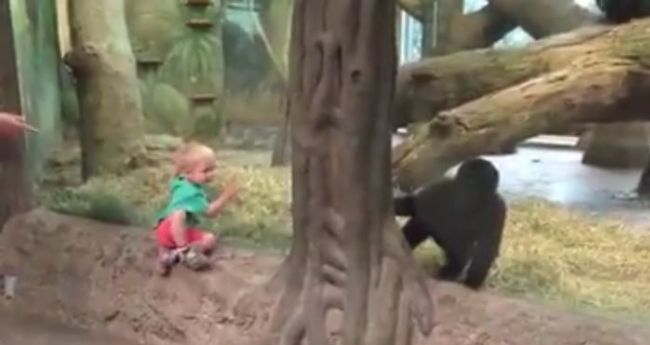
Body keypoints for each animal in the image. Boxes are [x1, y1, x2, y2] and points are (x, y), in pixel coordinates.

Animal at [392, 158, 504, 288]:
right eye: (467, 183)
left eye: (478, 185)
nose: (467, 194)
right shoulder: (443, 187)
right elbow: (414, 204)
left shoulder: (498, 208)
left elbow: (487, 246)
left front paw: (472, 282)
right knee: (424, 220)